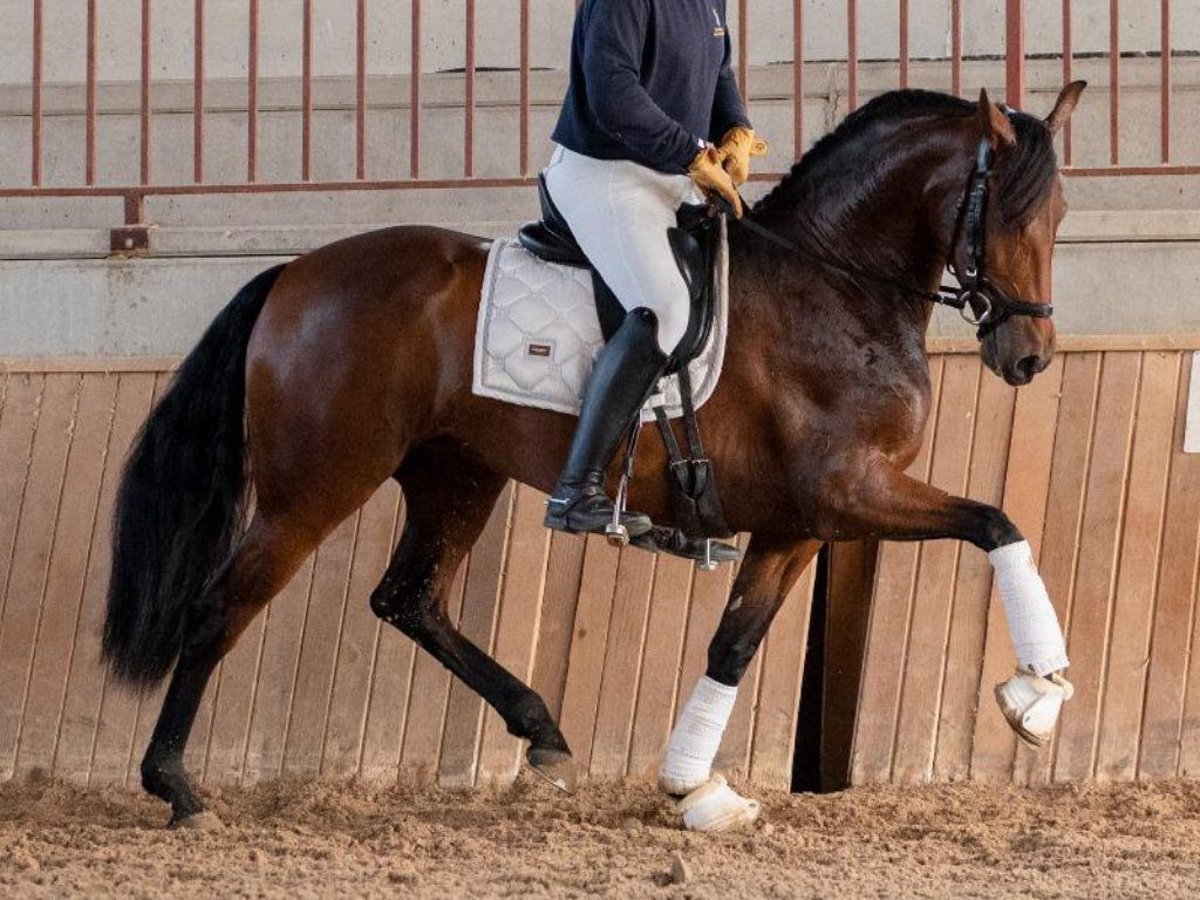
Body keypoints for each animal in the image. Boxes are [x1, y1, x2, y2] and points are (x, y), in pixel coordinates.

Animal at [103, 81, 1089, 830]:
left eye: (1060, 213)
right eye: (1008, 214)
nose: (1029, 359)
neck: (835, 285)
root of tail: (294, 274)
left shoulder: (799, 523)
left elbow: (734, 644)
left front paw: (692, 786)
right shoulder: (853, 493)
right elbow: (997, 522)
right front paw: (1036, 692)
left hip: (457, 473)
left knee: (409, 598)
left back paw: (542, 732)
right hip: (316, 485)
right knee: (222, 607)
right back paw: (177, 787)